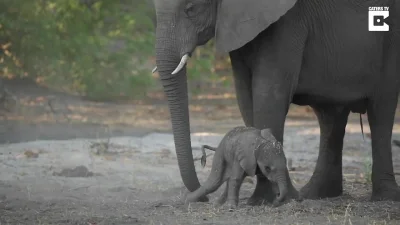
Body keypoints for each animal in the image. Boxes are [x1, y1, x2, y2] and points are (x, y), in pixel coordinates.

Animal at [151, 0, 400, 204]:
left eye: (191, 9)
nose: (204, 199)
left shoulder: (288, 23)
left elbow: (269, 95)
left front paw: (268, 199)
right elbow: (246, 97)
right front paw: (272, 197)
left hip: (391, 37)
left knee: (381, 111)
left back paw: (384, 198)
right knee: (331, 117)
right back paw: (315, 194)